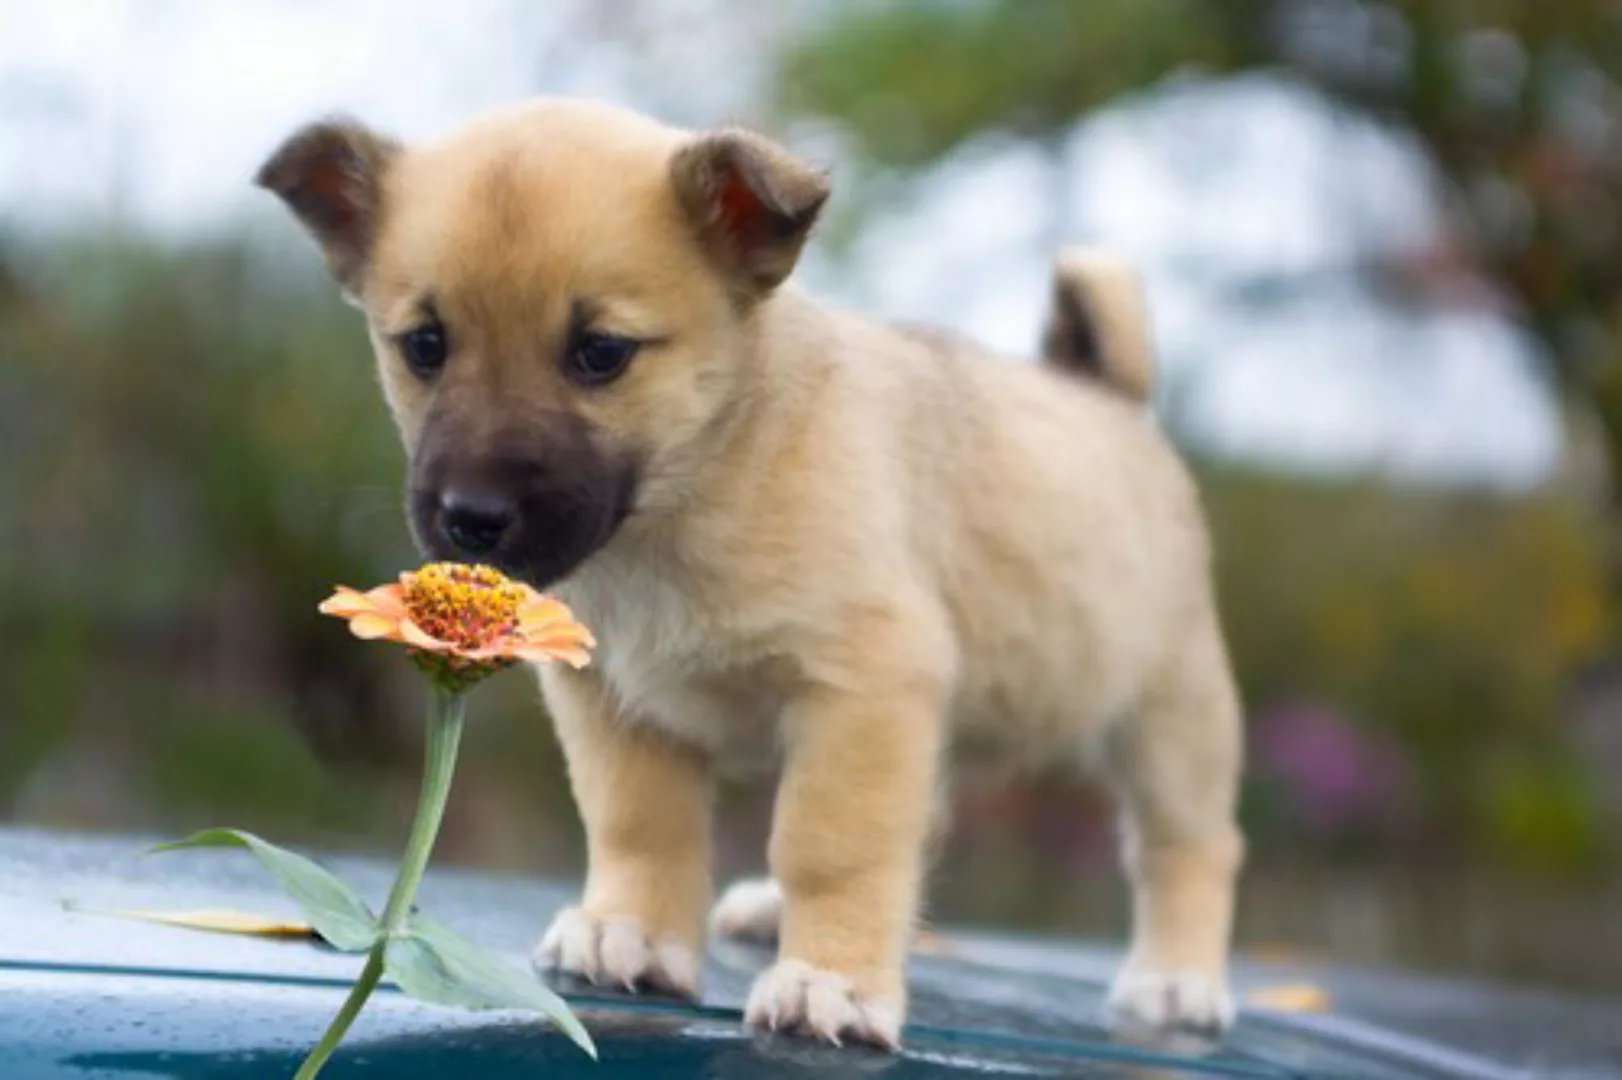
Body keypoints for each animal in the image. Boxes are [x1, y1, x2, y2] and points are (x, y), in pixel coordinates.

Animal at [256, 98, 1239, 1044]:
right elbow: (638, 823)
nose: (473, 518)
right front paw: (632, 932)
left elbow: (831, 845)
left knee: (1190, 849)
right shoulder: (617, 702)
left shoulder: (863, 689)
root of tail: (1111, 397)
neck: (689, 502)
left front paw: (832, 980)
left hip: (1171, 721)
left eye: (600, 353)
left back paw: (1177, 979)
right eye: (424, 345)